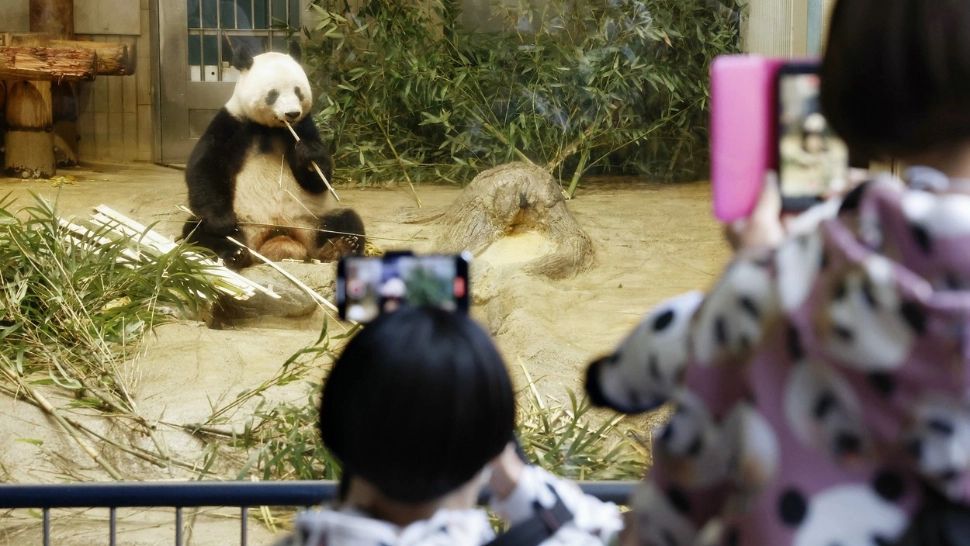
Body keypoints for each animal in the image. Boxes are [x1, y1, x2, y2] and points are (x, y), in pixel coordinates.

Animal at [182, 44, 364, 269]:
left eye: (298, 91)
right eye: (273, 94)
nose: (292, 114)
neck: (272, 129)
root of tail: (279, 237)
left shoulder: (304, 127)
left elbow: (320, 180)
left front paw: (308, 155)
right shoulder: (233, 122)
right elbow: (206, 166)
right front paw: (221, 222)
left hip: (312, 221)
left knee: (346, 220)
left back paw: (340, 247)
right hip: (246, 223)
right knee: (196, 231)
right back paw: (234, 253)